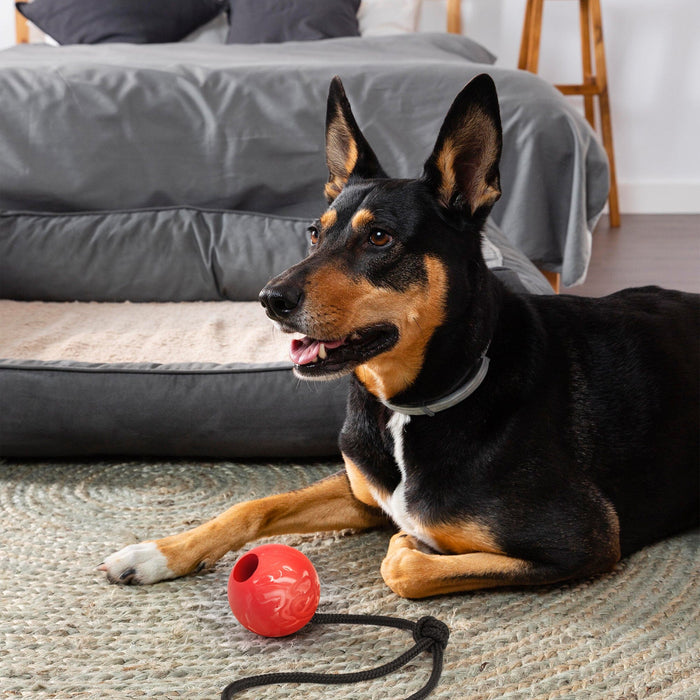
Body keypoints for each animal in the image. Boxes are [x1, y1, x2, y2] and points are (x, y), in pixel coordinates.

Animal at [100, 74, 700, 596]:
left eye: (380, 238)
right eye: (314, 233)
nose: (270, 300)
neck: (410, 404)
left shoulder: (586, 539)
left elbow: (403, 567)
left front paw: (411, 547)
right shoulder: (362, 489)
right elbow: (255, 505)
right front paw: (157, 553)